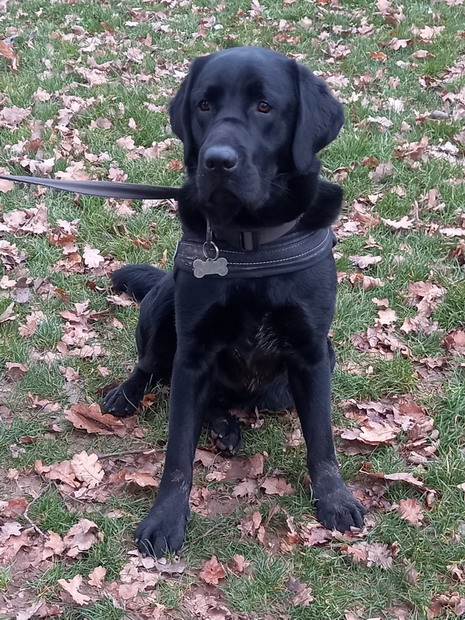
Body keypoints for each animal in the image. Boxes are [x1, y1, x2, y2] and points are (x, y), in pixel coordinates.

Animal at [102, 46, 366, 556]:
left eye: (265, 107)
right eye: (204, 105)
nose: (217, 161)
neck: (250, 240)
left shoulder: (312, 353)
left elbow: (322, 440)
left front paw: (334, 498)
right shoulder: (193, 352)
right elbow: (177, 450)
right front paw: (166, 517)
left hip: (310, 366)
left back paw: (224, 424)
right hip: (166, 305)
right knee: (153, 370)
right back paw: (131, 396)